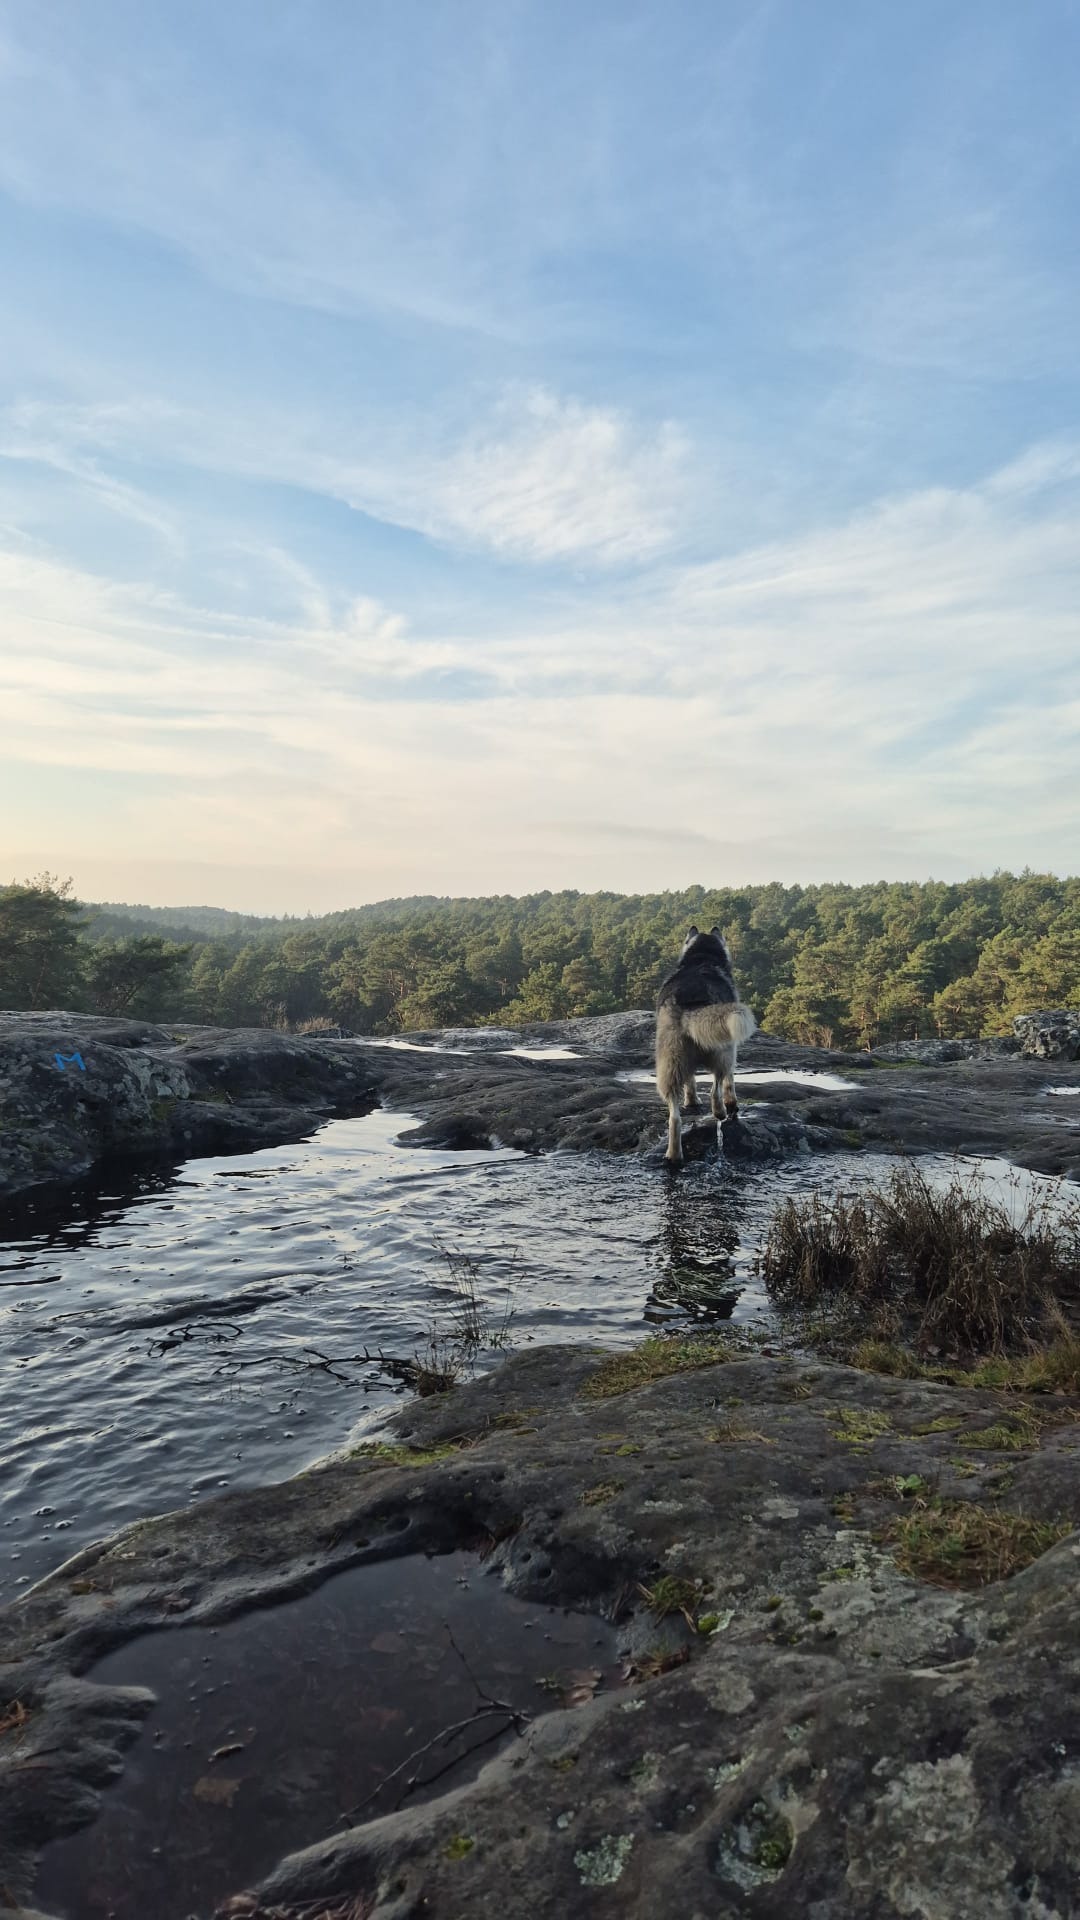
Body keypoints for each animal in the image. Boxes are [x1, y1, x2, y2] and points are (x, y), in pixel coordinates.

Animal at [653, 925, 753, 1159]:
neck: (701, 959)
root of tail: (690, 1002)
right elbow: (729, 1082)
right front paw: (731, 1103)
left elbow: (690, 1081)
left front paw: (691, 1100)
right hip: (724, 1050)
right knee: (716, 1086)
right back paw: (721, 1111)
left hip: (670, 1062)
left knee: (674, 1117)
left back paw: (674, 1154)